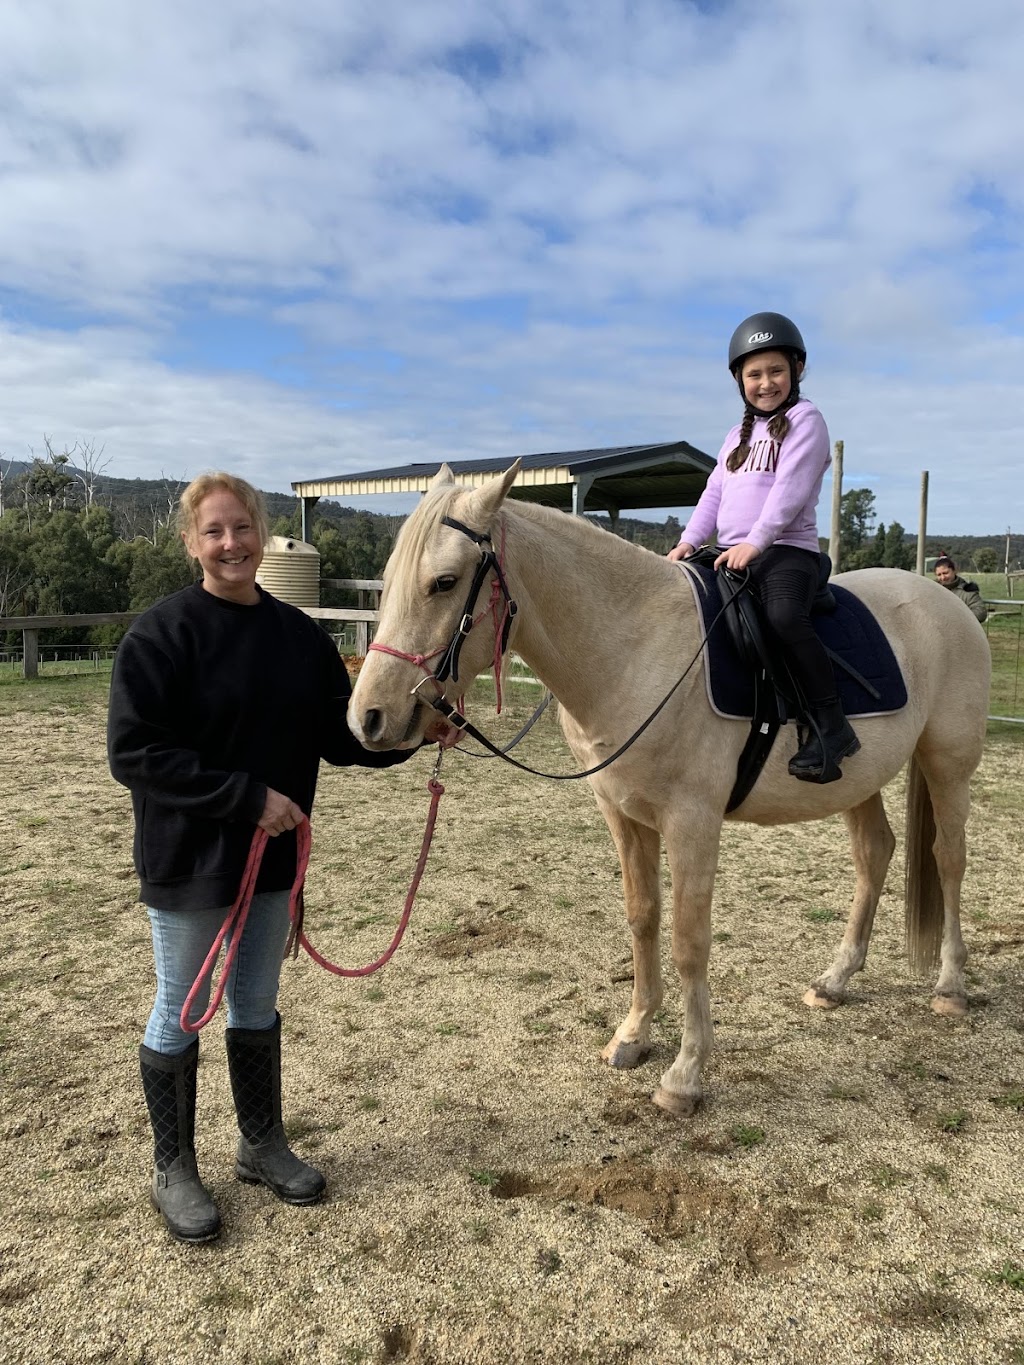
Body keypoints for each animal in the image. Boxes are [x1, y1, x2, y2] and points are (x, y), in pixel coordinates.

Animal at [348, 462, 992, 1116]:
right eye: (389, 581)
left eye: (444, 582)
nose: (368, 719)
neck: (635, 651)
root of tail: (947, 603)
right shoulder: (623, 814)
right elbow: (642, 919)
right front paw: (632, 1036)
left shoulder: (692, 822)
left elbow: (688, 940)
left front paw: (685, 1075)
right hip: (858, 779)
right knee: (874, 853)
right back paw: (835, 981)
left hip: (947, 764)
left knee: (948, 859)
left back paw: (950, 987)